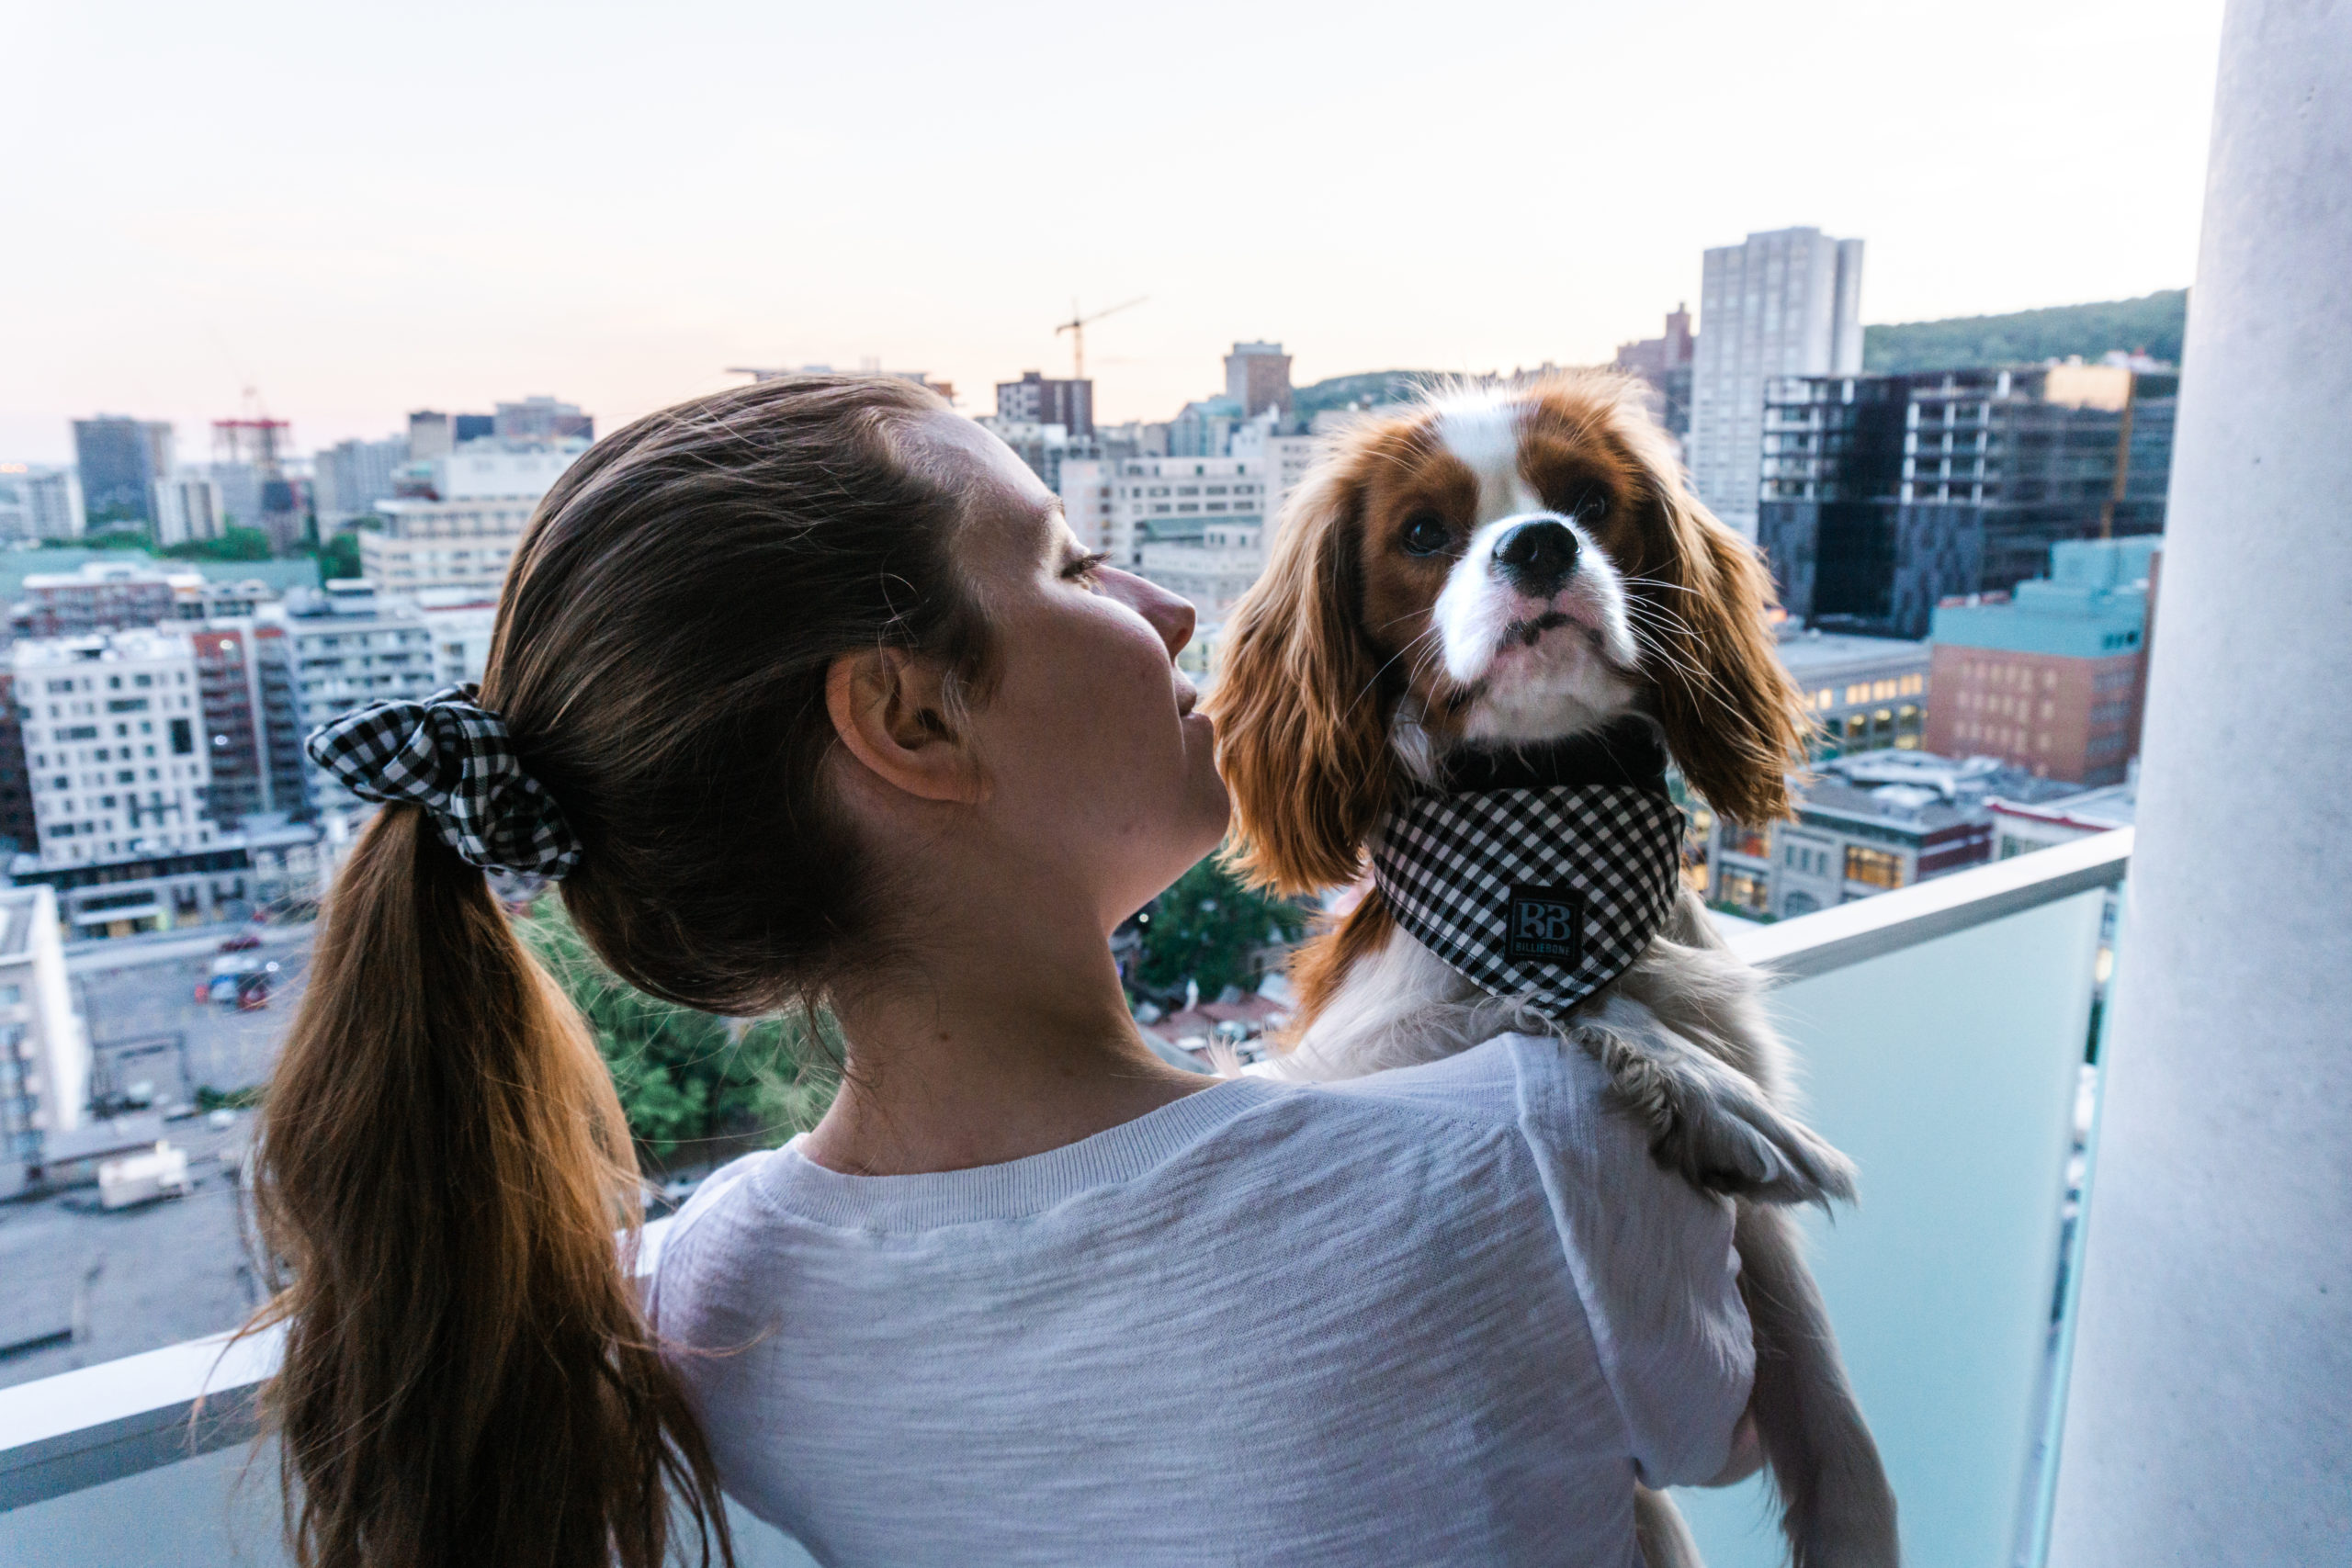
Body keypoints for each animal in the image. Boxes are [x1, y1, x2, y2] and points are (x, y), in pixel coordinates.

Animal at [1204, 371, 1900, 1568]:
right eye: (1422, 534)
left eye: (1589, 503)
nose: (1538, 545)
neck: (1545, 810)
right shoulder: (1345, 1058)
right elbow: (1532, 999)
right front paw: (1706, 1087)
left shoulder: (1756, 1243)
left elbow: (1830, 1405)